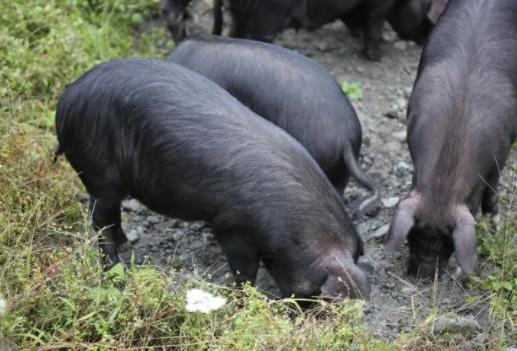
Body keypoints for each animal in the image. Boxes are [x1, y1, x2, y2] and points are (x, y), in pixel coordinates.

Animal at [54, 59, 368, 302]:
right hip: (99, 171)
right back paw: (115, 268)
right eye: (315, 290)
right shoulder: (231, 226)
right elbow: (244, 269)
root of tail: (67, 101)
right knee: (100, 221)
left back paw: (125, 241)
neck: (294, 230)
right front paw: (244, 297)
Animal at [382, 0, 516, 280]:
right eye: (412, 236)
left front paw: (495, 224)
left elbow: (492, 192)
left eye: (448, 242)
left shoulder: (502, 152)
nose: (423, 275)